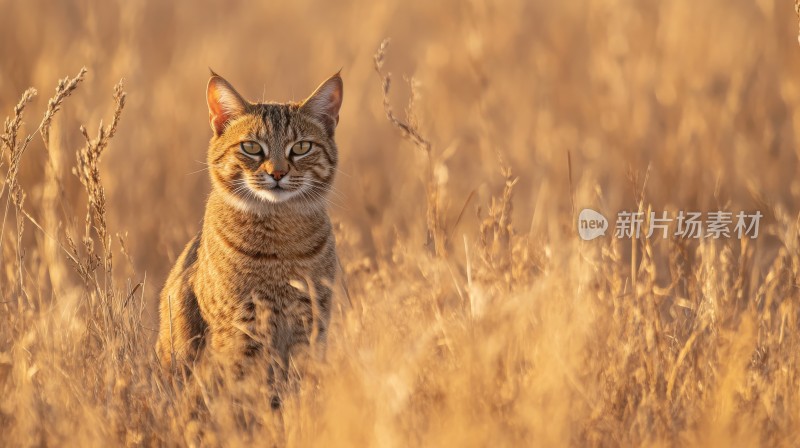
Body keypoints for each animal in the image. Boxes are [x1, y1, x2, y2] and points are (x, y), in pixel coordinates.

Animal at [158, 69, 342, 400]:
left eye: (301, 147)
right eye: (252, 147)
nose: (277, 173)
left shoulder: (310, 322)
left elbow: (298, 384)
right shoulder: (240, 326)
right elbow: (246, 388)